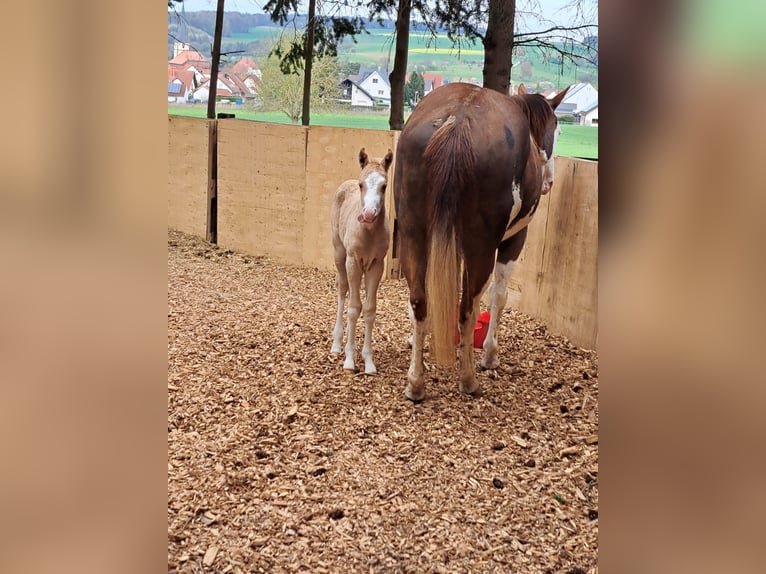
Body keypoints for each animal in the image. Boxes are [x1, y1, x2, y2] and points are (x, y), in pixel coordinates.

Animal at [330, 147, 394, 375]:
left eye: (384, 186)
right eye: (361, 185)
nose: (368, 214)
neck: (368, 232)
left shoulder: (376, 265)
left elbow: (368, 309)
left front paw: (368, 361)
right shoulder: (353, 261)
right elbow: (352, 308)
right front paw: (349, 360)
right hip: (340, 255)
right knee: (343, 291)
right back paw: (337, 344)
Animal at [394, 82, 569, 401]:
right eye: (557, 130)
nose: (549, 182)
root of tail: (458, 121)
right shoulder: (513, 240)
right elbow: (499, 297)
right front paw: (489, 354)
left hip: (413, 234)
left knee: (419, 300)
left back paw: (415, 382)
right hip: (482, 247)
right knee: (468, 307)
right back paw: (468, 379)